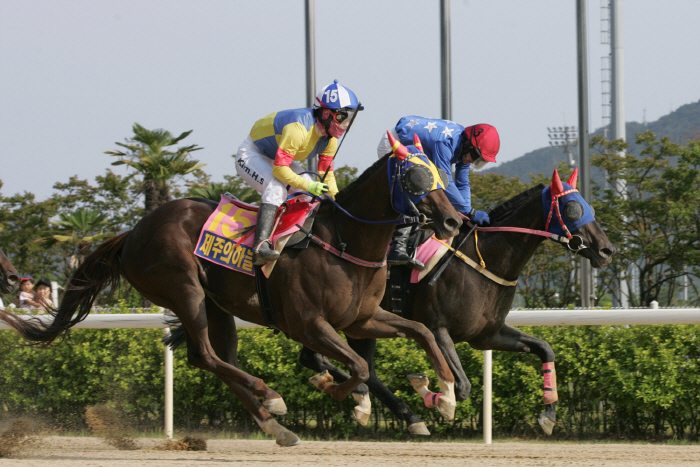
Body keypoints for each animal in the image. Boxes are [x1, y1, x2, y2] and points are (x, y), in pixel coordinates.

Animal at [1, 150, 464, 446]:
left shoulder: (361, 318)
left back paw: (275, 426)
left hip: (215, 305)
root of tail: (131, 233)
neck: (344, 241)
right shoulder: (309, 324)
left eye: (439, 173)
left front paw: (443, 394)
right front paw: (341, 393)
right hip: (183, 288)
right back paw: (271, 396)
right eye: (416, 177)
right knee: (207, 356)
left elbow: (421, 330)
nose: (452, 220)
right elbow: (359, 367)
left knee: (211, 359)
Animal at [298, 172, 616, 438]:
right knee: (345, 365)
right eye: (573, 207)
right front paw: (429, 390)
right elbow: (462, 387)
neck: (487, 260)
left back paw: (366, 399)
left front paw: (548, 415)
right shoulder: (438, 328)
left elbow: (545, 348)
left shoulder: (487, 334)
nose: (607, 250)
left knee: (323, 361)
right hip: (347, 318)